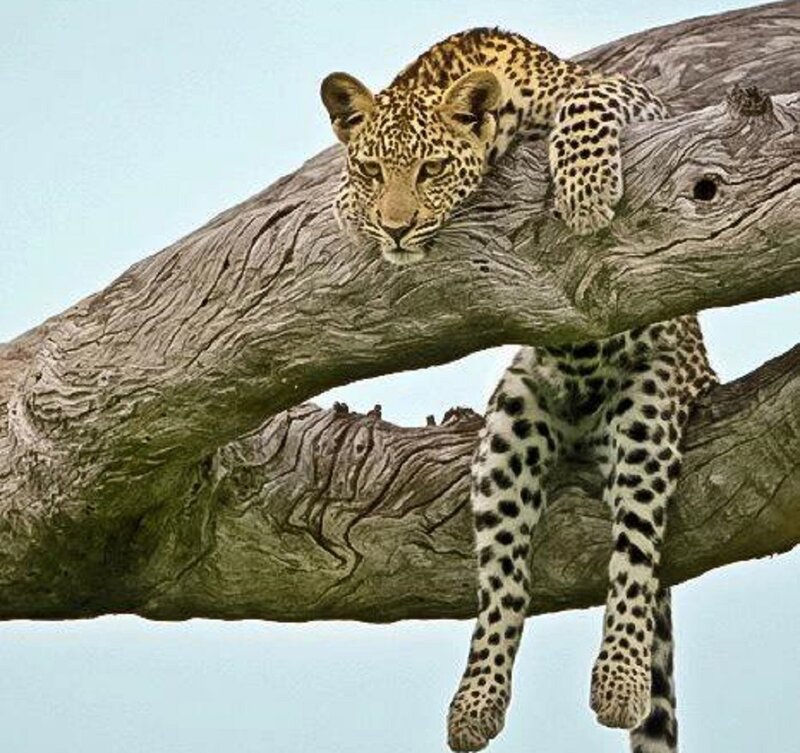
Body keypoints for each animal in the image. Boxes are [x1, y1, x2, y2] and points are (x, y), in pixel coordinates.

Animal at [320, 27, 717, 753]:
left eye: (430, 170)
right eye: (373, 172)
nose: (395, 227)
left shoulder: (631, 95)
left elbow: (588, 103)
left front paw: (585, 192)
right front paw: (347, 208)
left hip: (652, 402)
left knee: (635, 553)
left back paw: (619, 678)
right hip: (513, 419)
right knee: (504, 582)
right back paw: (476, 702)